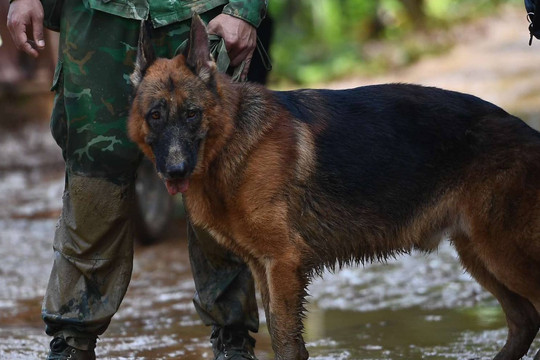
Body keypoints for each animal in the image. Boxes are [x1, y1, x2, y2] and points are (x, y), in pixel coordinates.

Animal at [129, 14, 540, 360]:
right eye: (155, 116)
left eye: (192, 114)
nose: (175, 171)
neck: (230, 139)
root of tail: (526, 131)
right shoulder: (264, 269)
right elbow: (284, 336)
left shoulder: (282, 264)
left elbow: (285, 341)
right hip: (479, 253)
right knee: (523, 320)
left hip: (503, 255)